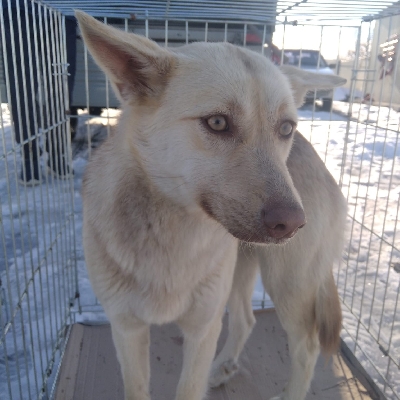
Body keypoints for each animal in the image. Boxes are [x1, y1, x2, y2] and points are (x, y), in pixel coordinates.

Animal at [76, 10, 346, 400]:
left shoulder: (202, 329)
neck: (173, 237)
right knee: (246, 319)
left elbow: (189, 388)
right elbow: (136, 387)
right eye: (217, 122)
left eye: (285, 128)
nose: (294, 223)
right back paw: (223, 367)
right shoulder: (126, 329)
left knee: (306, 347)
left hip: (288, 284)